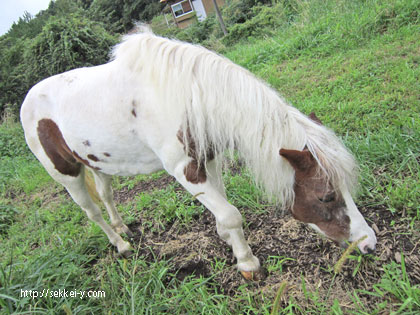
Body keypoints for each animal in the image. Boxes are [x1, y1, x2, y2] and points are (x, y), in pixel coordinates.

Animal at [19, 26, 376, 278]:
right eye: (326, 196)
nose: (369, 243)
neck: (189, 97)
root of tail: (28, 99)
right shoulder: (184, 169)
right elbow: (231, 214)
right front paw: (247, 263)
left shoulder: (208, 157)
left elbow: (223, 206)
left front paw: (227, 239)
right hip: (66, 173)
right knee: (91, 211)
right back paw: (120, 244)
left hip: (97, 163)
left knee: (106, 196)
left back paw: (122, 228)